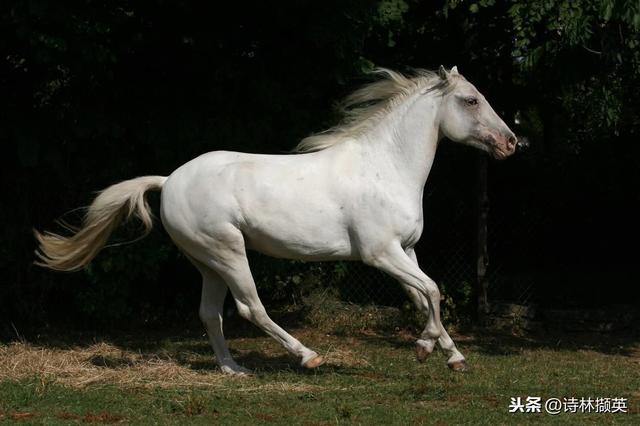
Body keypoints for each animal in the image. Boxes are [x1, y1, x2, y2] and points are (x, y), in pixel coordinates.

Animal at [35, 65, 516, 372]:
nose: (511, 142)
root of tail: (170, 179)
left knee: (211, 313)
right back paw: (307, 357)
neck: (385, 167)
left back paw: (233, 370)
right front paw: (423, 348)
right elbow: (433, 291)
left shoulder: (406, 250)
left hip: (207, 262)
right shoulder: (379, 254)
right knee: (251, 307)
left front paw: (452, 356)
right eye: (471, 100)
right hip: (228, 252)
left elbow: (423, 296)